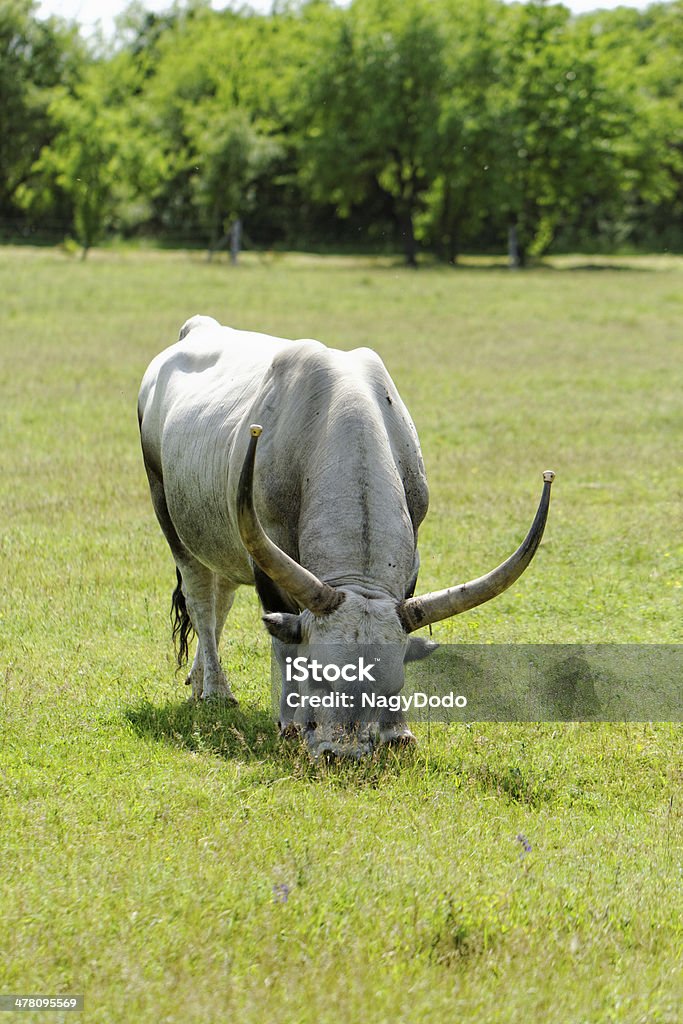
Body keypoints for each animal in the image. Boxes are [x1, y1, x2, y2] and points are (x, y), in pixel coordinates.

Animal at [139, 315, 557, 757]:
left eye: (391, 686)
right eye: (318, 675)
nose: (343, 753)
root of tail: (199, 327)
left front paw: (398, 732)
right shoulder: (268, 561)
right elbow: (282, 640)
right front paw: (290, 724)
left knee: (222, 597)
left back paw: (200, 682)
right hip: (170, 517)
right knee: (201, 598)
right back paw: (217, 690)